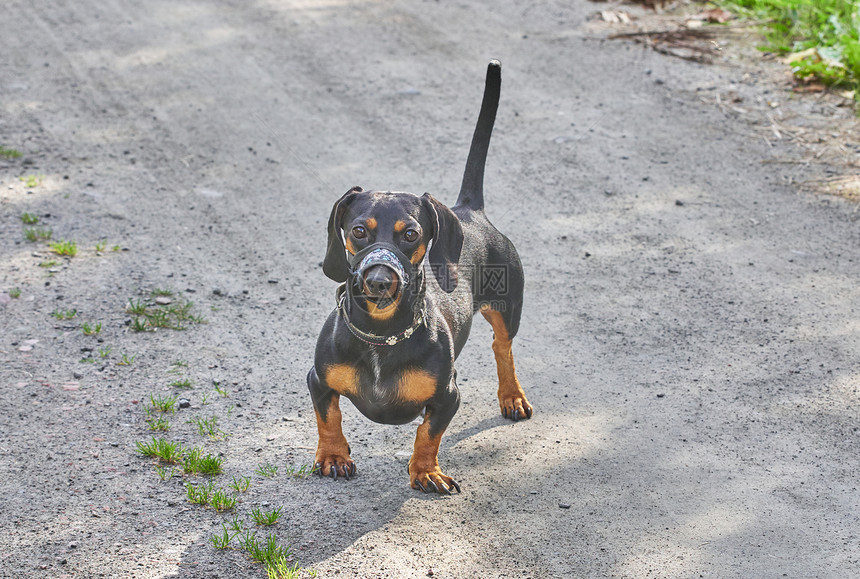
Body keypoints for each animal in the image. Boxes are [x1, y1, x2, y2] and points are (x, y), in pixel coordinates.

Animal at [306, 61, 528, 496]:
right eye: (358, 230)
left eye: (411, 233)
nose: (378, 281)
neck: (381, 334)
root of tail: (468, 210)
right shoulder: (318, 381)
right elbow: (329, 418)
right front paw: (334, 456)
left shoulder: (448, 396)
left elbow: (428, 433)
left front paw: (426, 471)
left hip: (508, 307)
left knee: (502, 346)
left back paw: (512, 396)